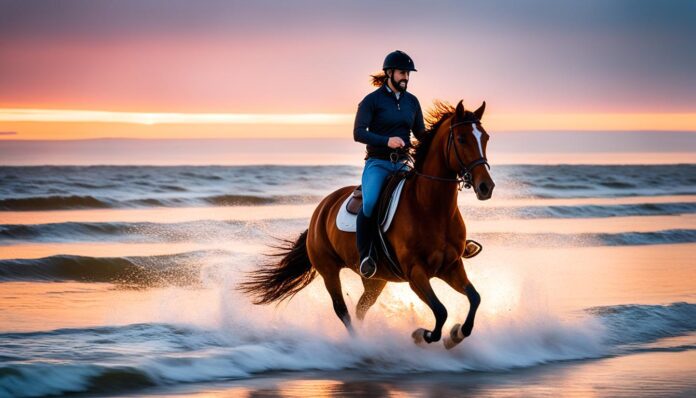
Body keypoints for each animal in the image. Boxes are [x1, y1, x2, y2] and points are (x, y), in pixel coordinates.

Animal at [241, 99, 494, 348]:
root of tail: (320, 211)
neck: (430, 209)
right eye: (462, 139)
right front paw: (422, 335)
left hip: (376, 280)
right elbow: (441, 311)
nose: (486, 187)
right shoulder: (416, 273)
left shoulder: (451, 266)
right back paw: (358, 344)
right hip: (329, 271)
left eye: (486, 138)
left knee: (361, 308)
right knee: (343, 311)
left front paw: (456, 334)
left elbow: (475, 298)